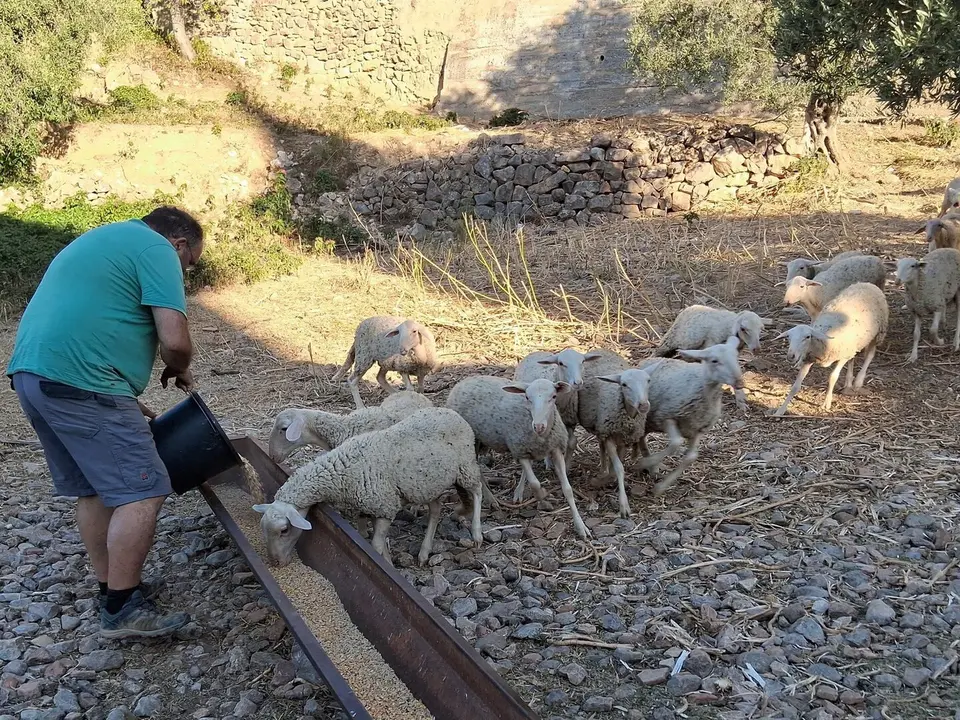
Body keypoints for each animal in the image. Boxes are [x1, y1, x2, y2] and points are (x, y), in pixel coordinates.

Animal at [252, 408, 483, 567]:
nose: (275, 563)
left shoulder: (385, 507)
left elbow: (376, 547)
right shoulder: (373, 506)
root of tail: (450, 411)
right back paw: (424, 552)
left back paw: (477, 533)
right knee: (436, 510)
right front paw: (388, 563)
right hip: (426, 483)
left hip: (466, 467)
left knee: (477, 490)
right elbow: (377, 543)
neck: (342, 469)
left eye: (284, 530)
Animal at [445, 375, 590, 539]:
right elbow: (534, 483)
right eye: (527, 397)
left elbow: (567, 489)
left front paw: (581, 526)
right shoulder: (520, 451)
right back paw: (491, 500)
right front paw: (543, 499)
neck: (542, 435)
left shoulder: (555, 449)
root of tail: (463, 381)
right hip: (471, 441)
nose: (538, 426)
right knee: (477, 472)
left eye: (553, 396)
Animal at [577, 349, 663, 518]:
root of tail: (599, 349)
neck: (628, 416)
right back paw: (603, 468)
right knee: (601, 445)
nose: (643, 406)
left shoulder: (623, 438)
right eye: (624, 385)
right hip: (599, 425)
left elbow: (619, 464)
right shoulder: (609, 435)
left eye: (648, 381)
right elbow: (619, 468)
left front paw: (611, 480)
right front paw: (623, 505)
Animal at [631, 337, 744, 497]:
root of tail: (647, 359)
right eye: (714, 361)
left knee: (640, 438)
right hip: (647, 417)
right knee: (641, 437)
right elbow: (675, 443)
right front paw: (647, 465)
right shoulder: (667, 417)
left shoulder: (697, 429)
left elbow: (690, 458)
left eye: (736, 357)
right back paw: (648, 464)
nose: (740, 382)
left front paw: (661, 486)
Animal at [773, 282, 888, 416]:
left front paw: (827, 403)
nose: (790, 356)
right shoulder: (809, 358)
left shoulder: (842, 357)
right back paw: (848, 382)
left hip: (879, 332)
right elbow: (795, 386)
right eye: (789, 338)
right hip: (854, 344)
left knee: (869, 355)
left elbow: (832, 377)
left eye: (807, 337)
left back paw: (858, 381)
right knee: (852, 358)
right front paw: (781, 410)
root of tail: (867, 284)